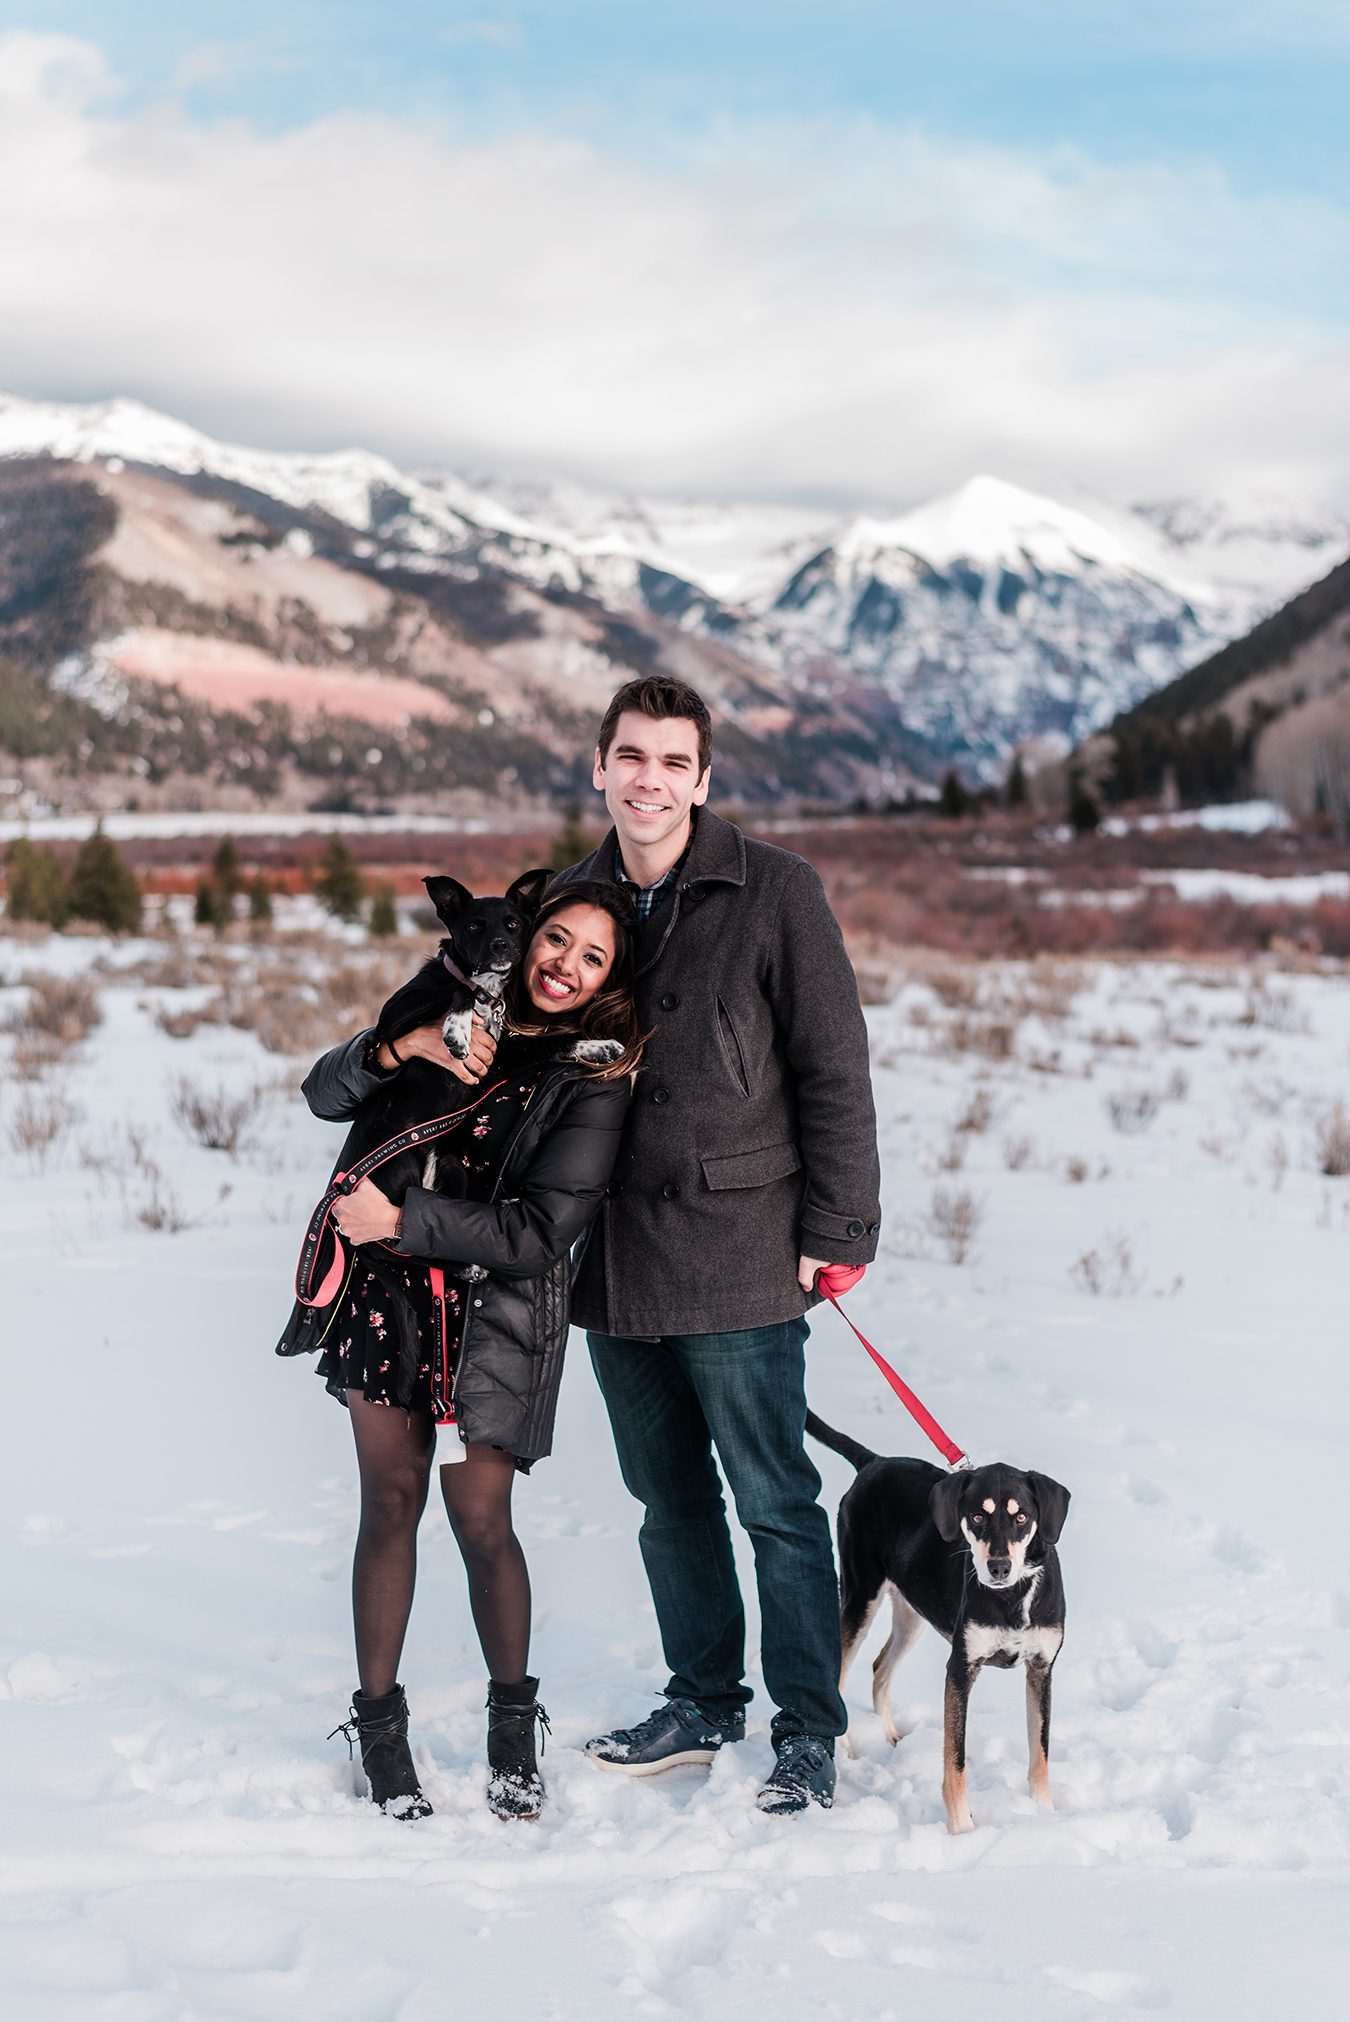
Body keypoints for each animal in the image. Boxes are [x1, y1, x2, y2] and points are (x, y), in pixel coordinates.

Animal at [800, 1407, 1075, 1835]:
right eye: (976, 1516)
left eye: (1022, 1517)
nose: (998, 1567)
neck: (1011, 1598)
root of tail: (874, 1462)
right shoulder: (960, 1669)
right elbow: (954, 1761)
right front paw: (962, 1831)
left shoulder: (1041, 1669)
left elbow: (1039, 1754)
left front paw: (1043, 1815)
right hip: (860, 1596)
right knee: (840, 1670)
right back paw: (842, 1748)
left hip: (912, 1610)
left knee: (880, 1668)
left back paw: (891, 1736)